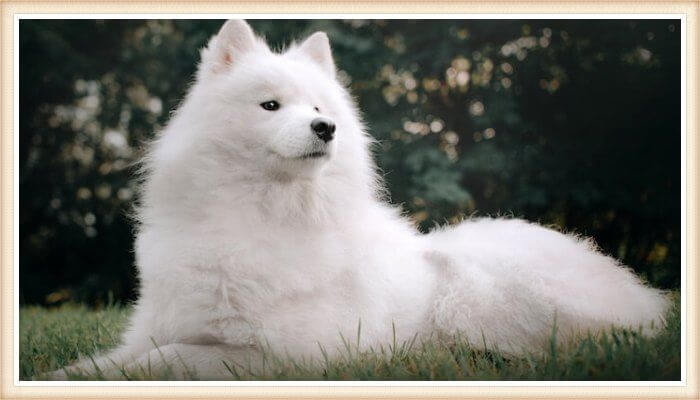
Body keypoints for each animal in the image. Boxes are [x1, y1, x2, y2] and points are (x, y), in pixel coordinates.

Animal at [47, 19, 668, 382]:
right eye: (270, 106)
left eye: (321, 107)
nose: (326, 128)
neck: (257, 214)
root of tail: (642, 298)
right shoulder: (152, 327)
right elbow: (103, 362)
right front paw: (64, 376)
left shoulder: (290, 354)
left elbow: (169, 359)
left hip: (473, 286)